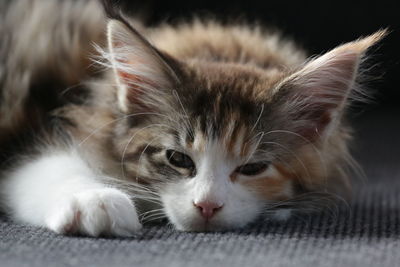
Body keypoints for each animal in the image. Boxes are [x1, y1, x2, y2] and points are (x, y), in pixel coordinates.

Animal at [0, 0, 384, 238]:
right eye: (178, 159)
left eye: (253, 168)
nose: (207, 206)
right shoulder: (35, 133)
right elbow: (48, 166)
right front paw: (95, 202)